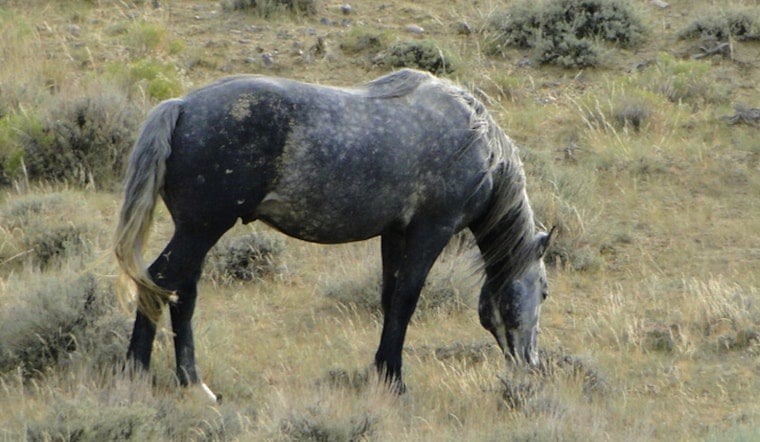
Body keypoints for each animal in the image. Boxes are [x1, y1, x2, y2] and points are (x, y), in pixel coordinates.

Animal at [114, 69, 554, 400]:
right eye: (545, 291)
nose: (531, 363)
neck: (476, 141)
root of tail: (181, 107)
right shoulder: (432, 230)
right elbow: (407, 300)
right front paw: (396, 382)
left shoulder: (395, 234)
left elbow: (390, 298)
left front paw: (383, 374)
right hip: (201, 229)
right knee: (161, 281)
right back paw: (143, 376)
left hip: (198, 232)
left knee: (181, 292)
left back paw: (192, 383)